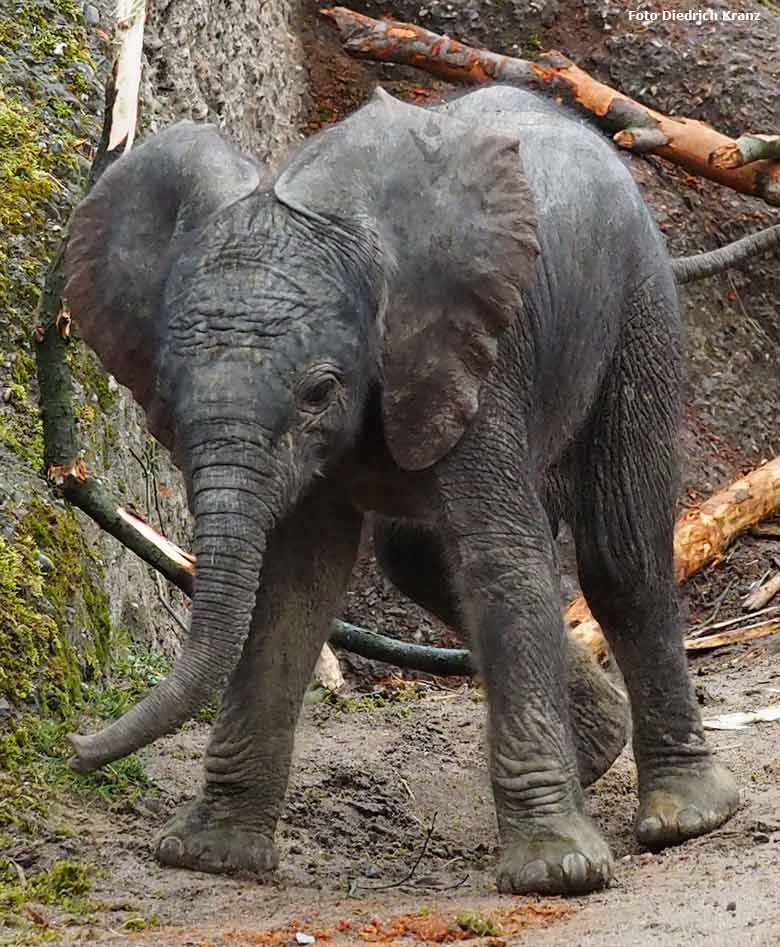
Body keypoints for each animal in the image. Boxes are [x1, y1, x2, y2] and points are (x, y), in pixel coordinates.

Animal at [64, 83, 740, 896]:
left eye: (319, 392)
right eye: (165, 394)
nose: (74, 748)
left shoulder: (477, 354)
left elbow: (502, 562)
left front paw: (556, 873)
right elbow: (291, 581)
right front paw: (209, 856)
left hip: (639, 299)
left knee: (622, 553)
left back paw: (686, 817)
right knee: (416, 559)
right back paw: (598, 750)